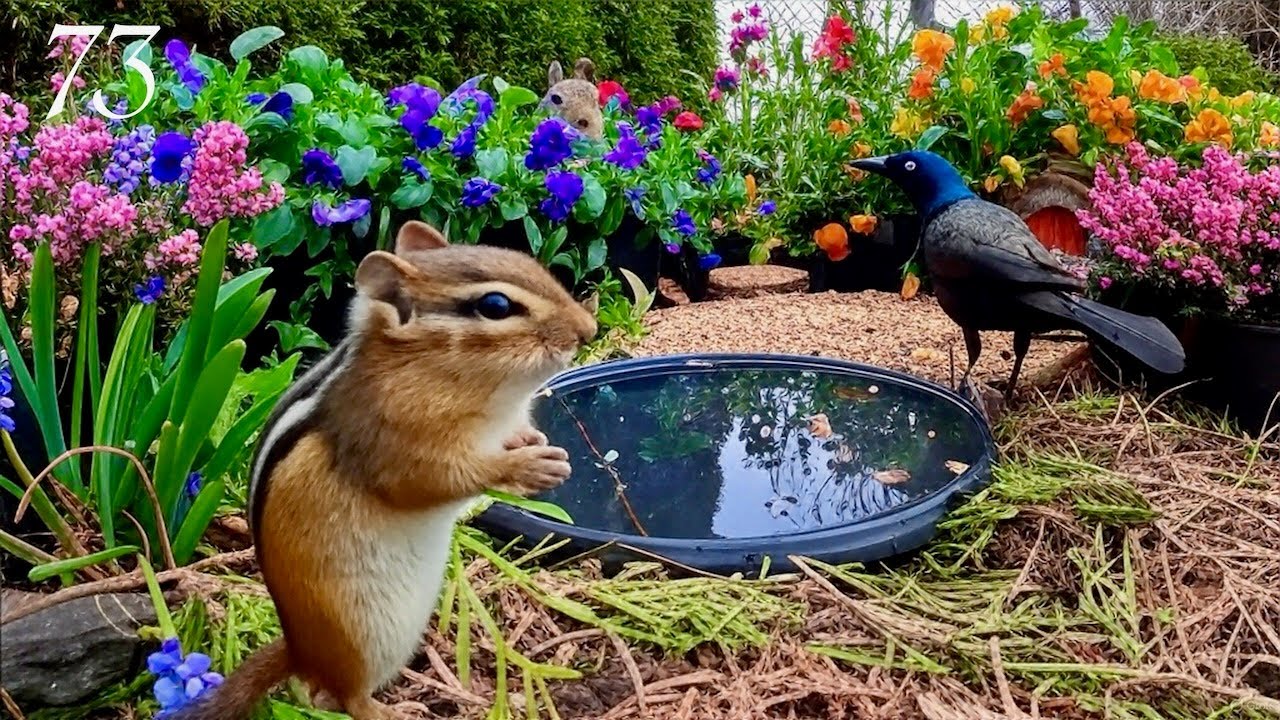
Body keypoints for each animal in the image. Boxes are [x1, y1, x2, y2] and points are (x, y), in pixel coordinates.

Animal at [171, 220, 599, 720]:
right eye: (495, 306)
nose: (588, 330)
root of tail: (299, 650)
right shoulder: (394, 443)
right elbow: (430, 480)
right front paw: (529, 466)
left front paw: (533, 443)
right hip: (361, 639)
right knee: (348, 697)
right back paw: (393, 711)